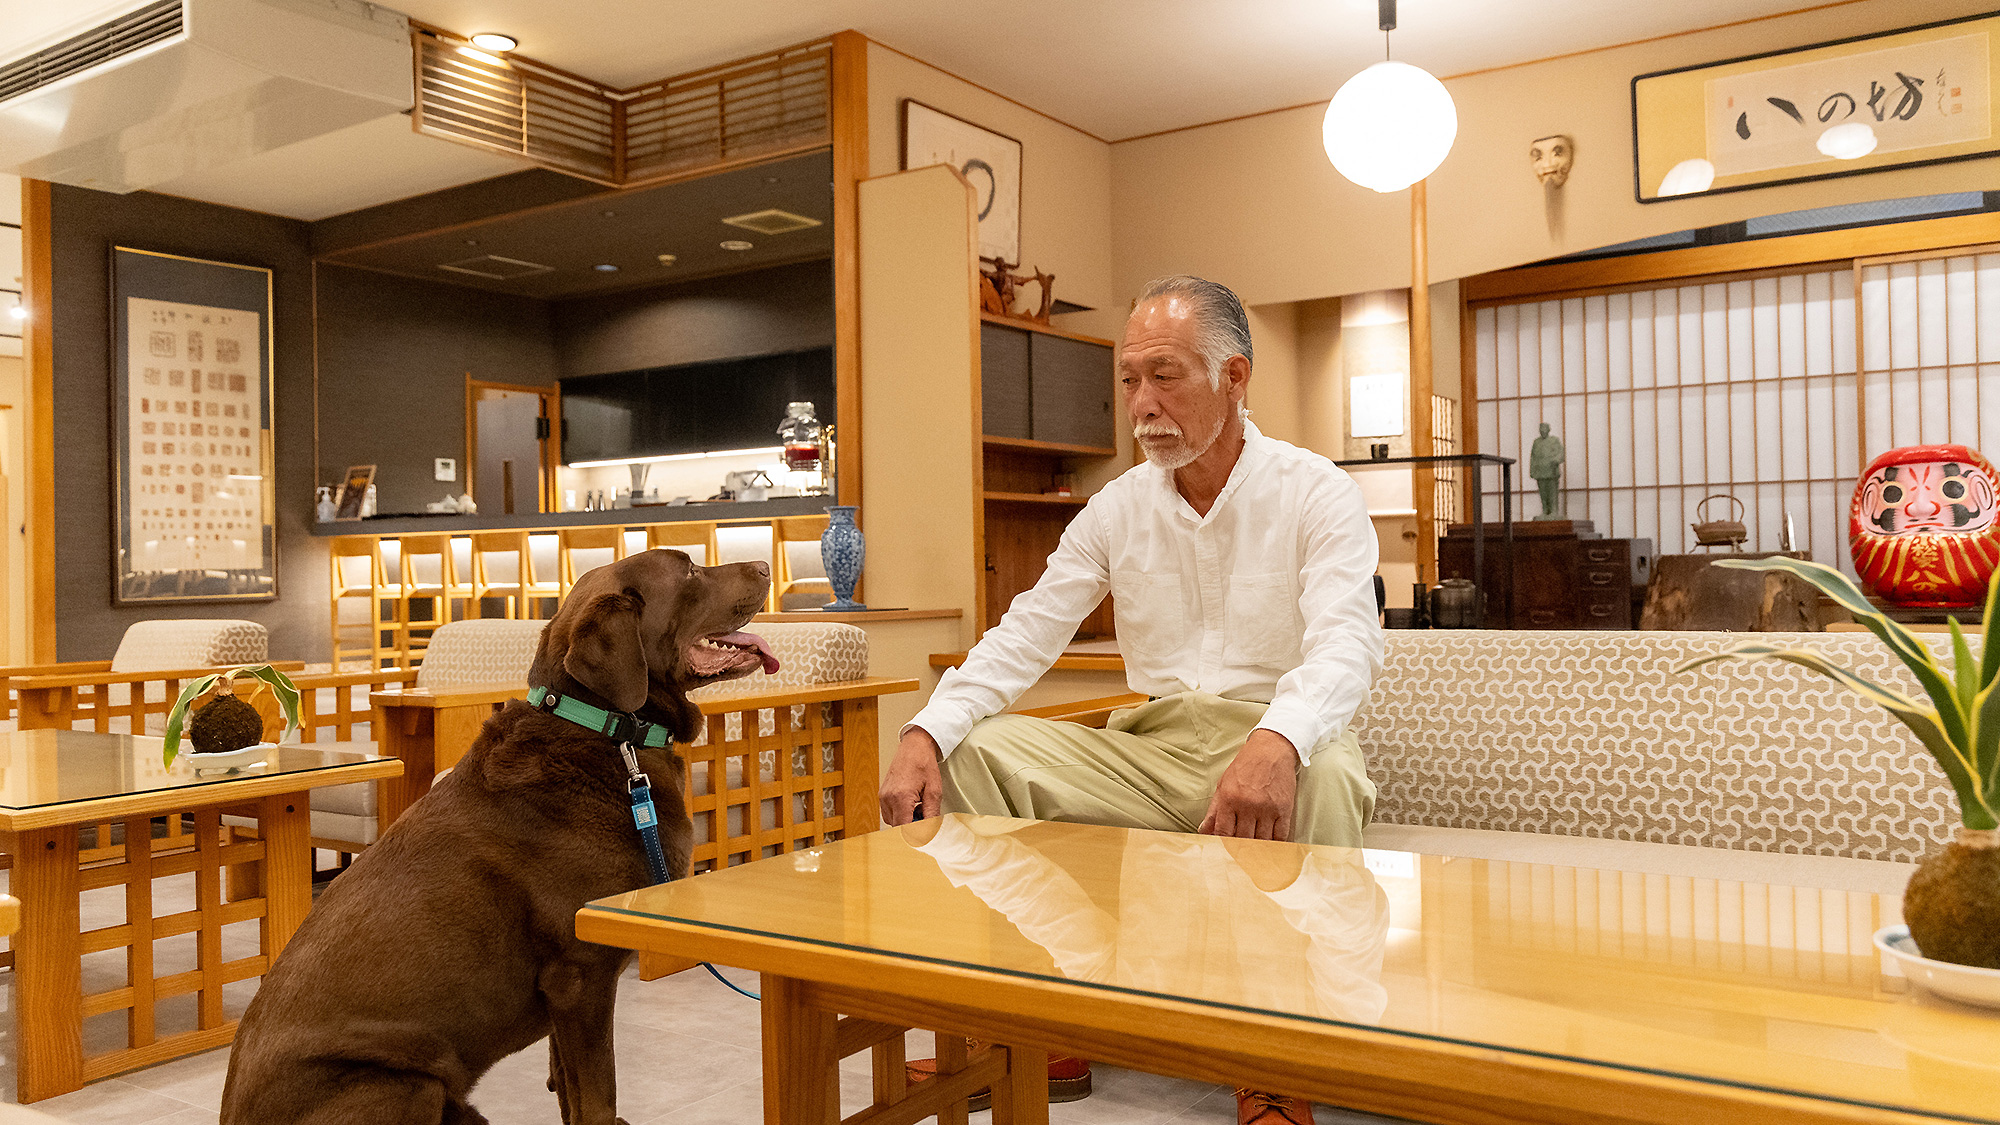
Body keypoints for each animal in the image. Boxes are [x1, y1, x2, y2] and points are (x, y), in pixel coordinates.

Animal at [221, 548, 772, 1120]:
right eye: (689, 571)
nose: (763, 566)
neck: (607, 732)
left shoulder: (564, 999)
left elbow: (567, 1089)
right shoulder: (580, 976)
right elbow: (597, 1096)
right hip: (403, 1085)